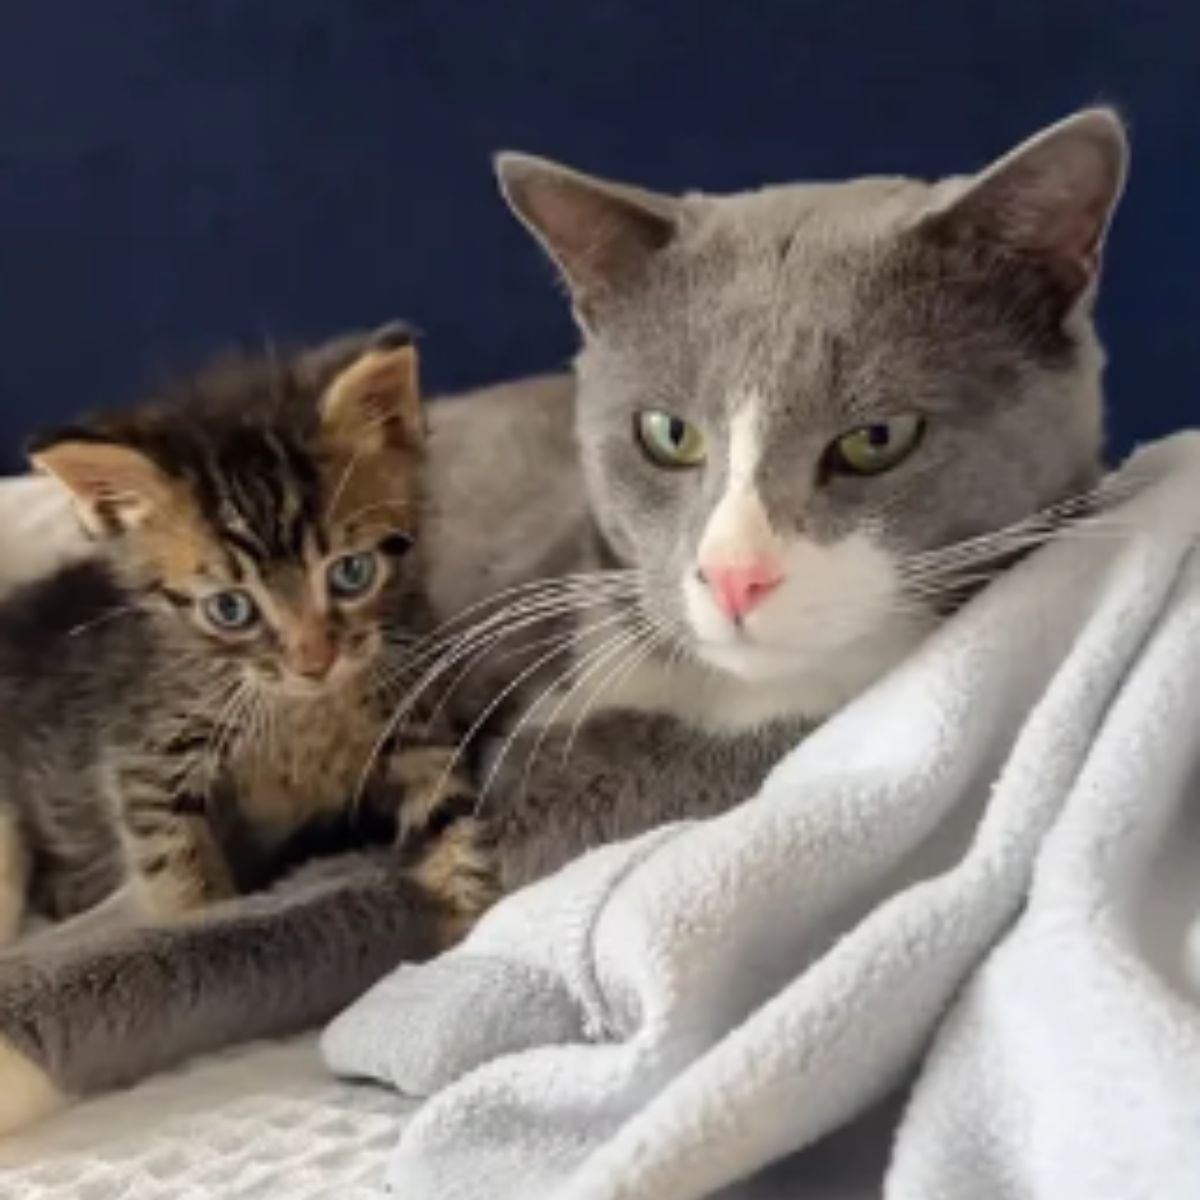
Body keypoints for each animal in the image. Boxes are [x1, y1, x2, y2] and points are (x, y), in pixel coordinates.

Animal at [0, 324, 482, 940]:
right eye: (231, 609)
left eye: (352, 573)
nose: (315, 662)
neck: (305, 712)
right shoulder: (145, 759)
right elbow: (180, 874)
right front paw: (204, 924)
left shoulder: (417, 710)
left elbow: (450, 816)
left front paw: (476, 920)